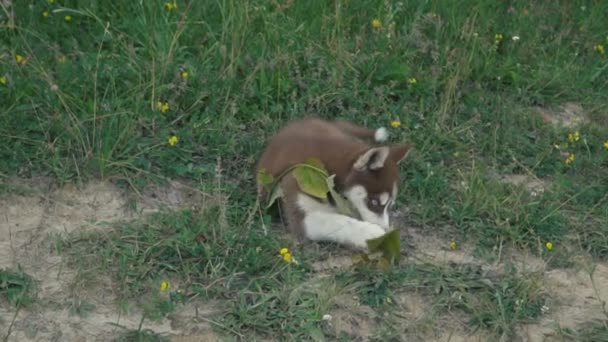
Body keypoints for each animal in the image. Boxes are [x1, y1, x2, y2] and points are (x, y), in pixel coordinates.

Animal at [254, 119, 410, 250]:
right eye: (375, 202)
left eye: (390, 205)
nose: (387, 230)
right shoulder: (300, 205)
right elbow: (338, 221)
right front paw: (372, 233)